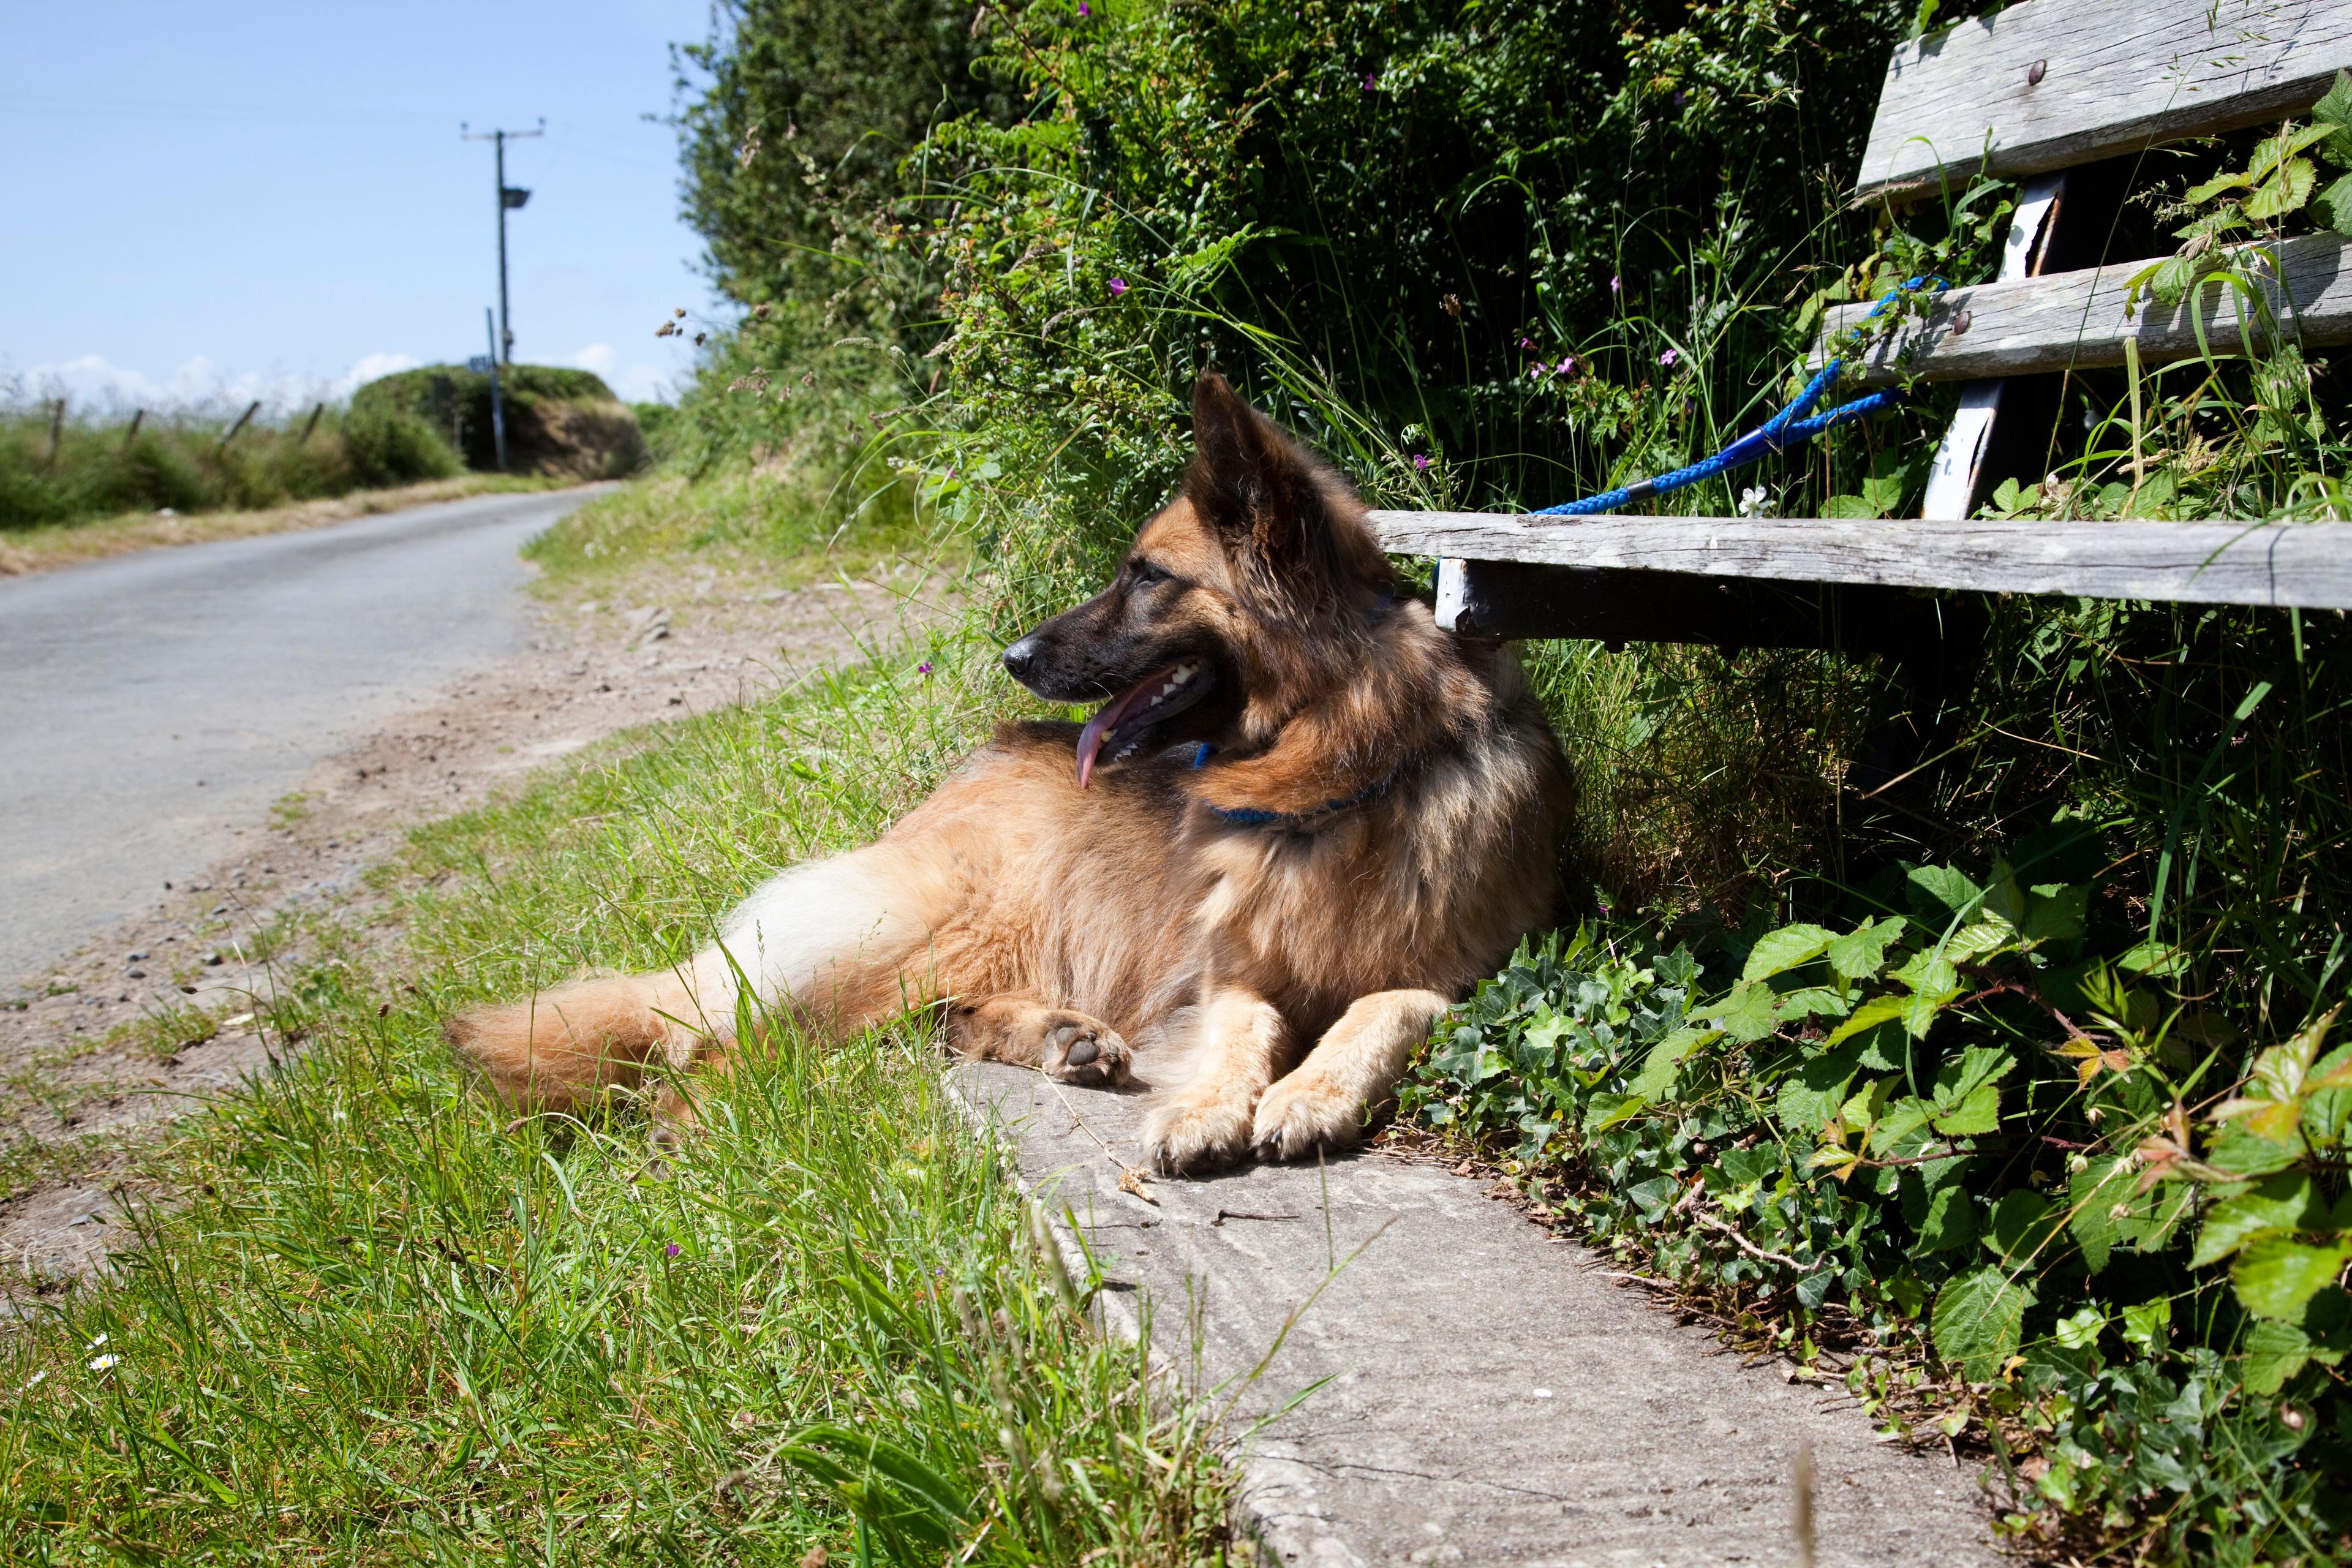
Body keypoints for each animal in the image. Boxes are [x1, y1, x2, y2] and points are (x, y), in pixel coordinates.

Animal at [447, 374, 1571, 1170]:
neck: (1326, 789)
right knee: (750, 1043)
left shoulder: (1468, 975)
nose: (1014, 657)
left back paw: (1062, 1039)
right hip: (957, 925)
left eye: (1146, 578)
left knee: (924, 1024)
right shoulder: (1230, 977)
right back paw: (701, 1119)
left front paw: (1312, 1090)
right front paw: (1212, 1105)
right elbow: (1240, 1033)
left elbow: (1385, 1007)